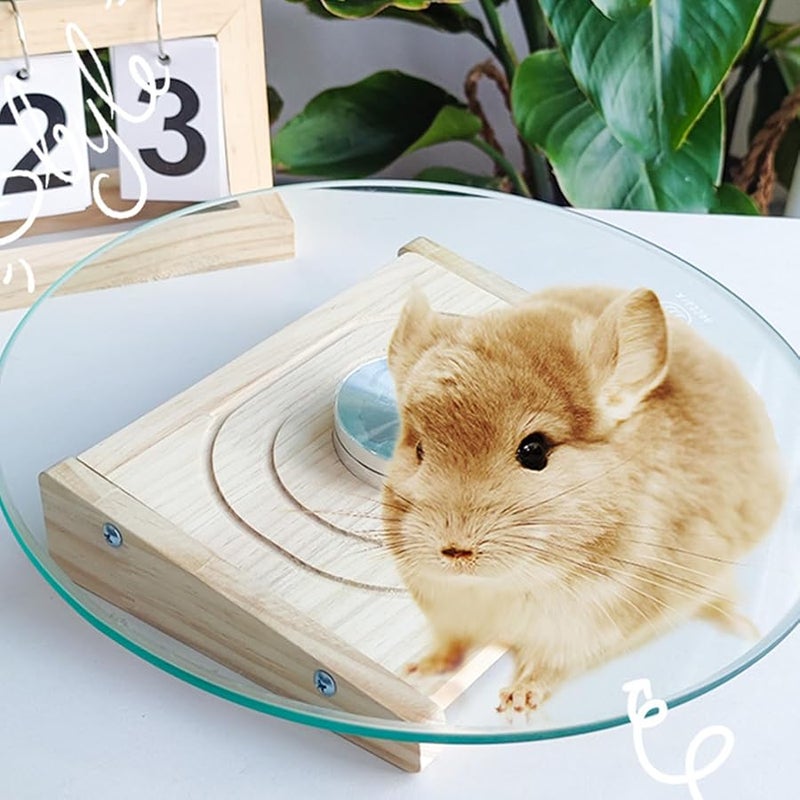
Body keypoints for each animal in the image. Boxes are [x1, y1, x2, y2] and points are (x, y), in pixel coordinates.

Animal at [382, 286, 785, 712]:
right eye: (419, 449)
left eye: (534, 451)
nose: (455, 550)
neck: (502, 584)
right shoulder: (449, 615)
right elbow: (451, 645)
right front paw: (418, 670)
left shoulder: (592, 627)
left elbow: (548, 666)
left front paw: (517, 703)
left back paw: (743, 626)